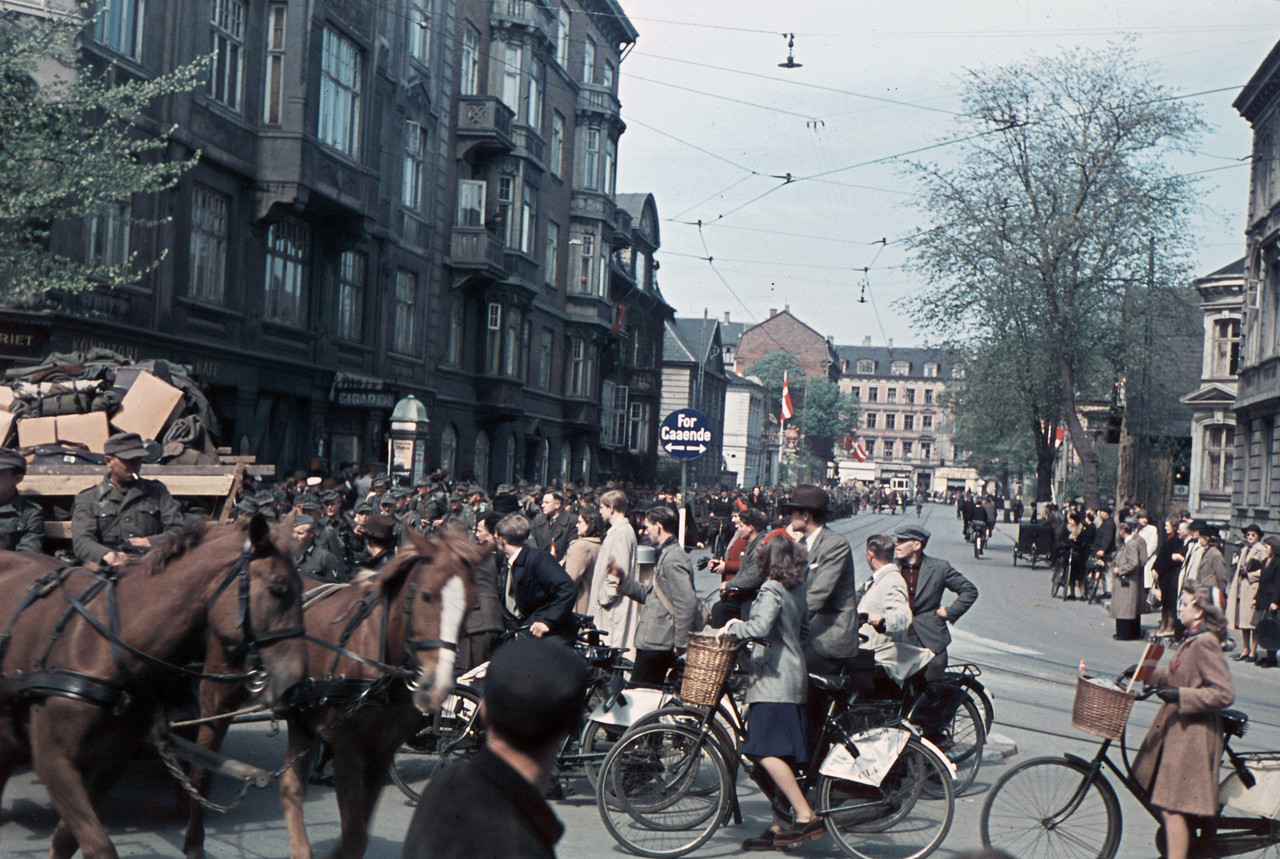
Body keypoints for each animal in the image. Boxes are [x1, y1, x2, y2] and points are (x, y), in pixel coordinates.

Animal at [0, 514, 308, 859]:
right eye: (278, 589)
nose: (295, 686)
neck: (104, 645)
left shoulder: (109, 763)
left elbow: (67, 839)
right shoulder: (53, 759)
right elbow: (98, 845)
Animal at [183, 524, 478, 859]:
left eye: (471, 604)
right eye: (427, 596)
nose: (437, 685)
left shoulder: (381, 751)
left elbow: (356, 833)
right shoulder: (348, 748)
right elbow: (354, 837)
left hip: (303, 721)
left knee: (290, 786)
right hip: (216, 699)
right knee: (201, 771)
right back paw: (194, 840)